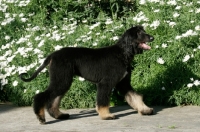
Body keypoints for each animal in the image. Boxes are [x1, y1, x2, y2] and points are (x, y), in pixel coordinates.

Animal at [19, 25, 155, 124]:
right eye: (139, 33)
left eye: (143, 31)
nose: (152, 38)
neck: (122, 53)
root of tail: (52, 55)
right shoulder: (105, 83)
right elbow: (103, 101)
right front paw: (106, 115)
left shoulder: (124, 83)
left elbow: (135, 96)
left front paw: (145, 110)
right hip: (62, 78)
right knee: (40, 96)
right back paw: (41, 117)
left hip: (63, 79)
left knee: (54, 99)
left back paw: (59, 115)